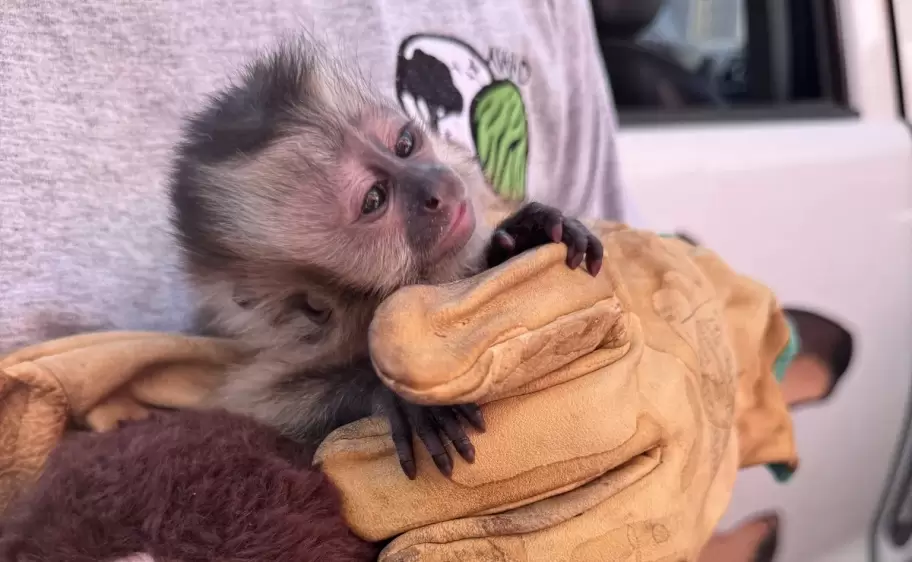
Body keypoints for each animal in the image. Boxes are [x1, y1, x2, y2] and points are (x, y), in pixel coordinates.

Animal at [168, 35, 603, 480]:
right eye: (375, 199)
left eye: (404, 146)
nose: (435, 185)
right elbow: (246, 407)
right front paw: (396, 398)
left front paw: (524, 234)